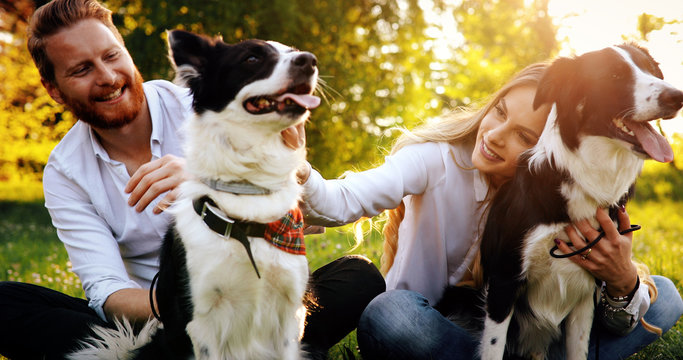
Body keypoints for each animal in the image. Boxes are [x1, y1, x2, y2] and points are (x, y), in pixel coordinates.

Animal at [71, 30, 322, 360]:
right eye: (252, 58)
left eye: (293, 51)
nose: (310, 60)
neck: (247, 192)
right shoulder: (201, 321)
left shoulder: (290, 314)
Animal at [438, 44, 683, 360]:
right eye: (614, 76)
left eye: (653, 71)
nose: (676, 96)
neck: (582, 178)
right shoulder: (505, 280)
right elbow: (493, 349)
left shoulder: (587, 294)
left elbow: (578, 350)